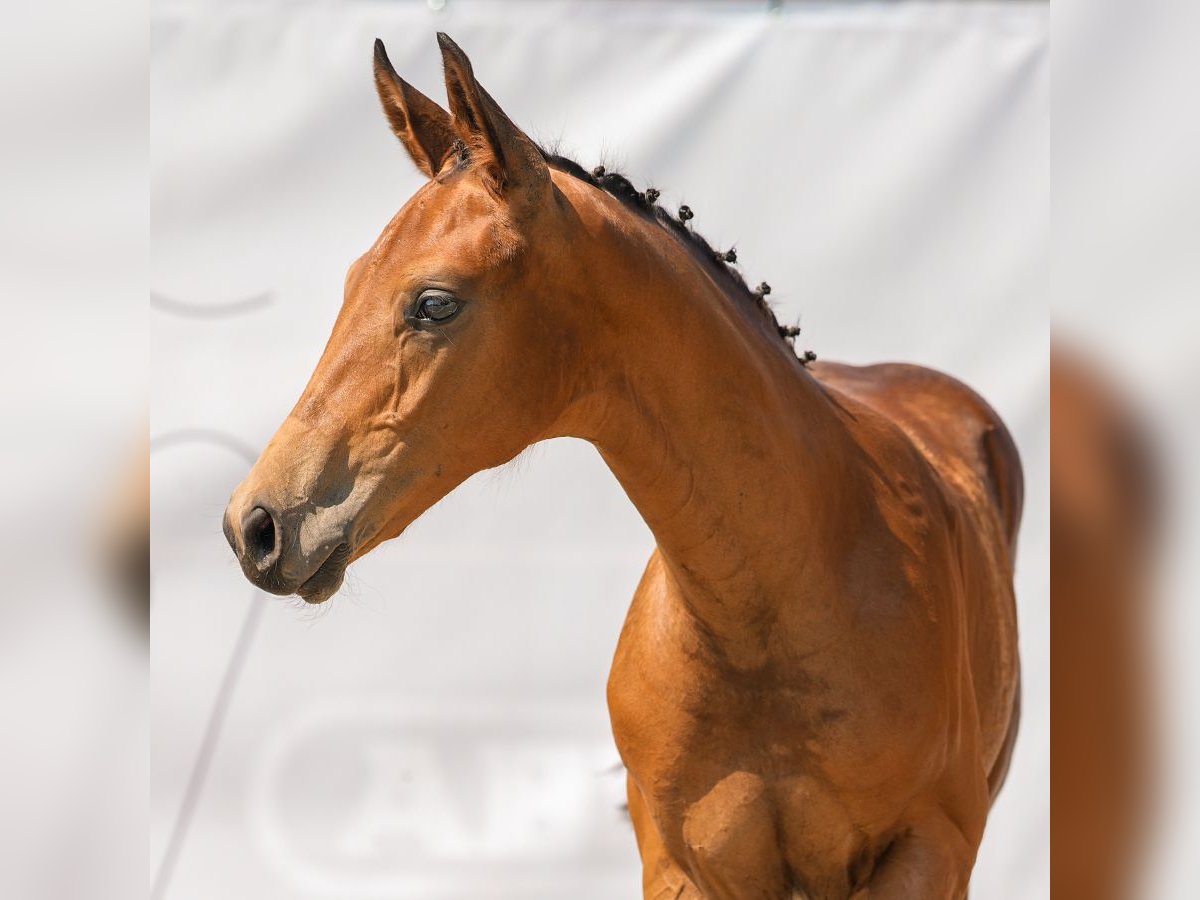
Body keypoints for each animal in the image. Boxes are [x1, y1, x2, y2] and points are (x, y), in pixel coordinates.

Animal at [223, 31, 1022, 897]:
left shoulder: (928, 853)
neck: (770, 621)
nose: (256, 524)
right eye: (351, 282)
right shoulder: (679, 866)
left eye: (435, 302)